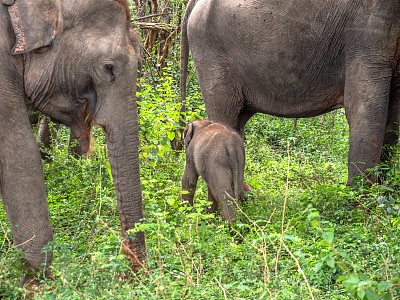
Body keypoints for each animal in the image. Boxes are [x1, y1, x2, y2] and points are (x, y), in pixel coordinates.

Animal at [181, 0, 400, 185]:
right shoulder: (365, 32)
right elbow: (363, 109)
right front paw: (360, 205)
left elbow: (393, 120)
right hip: (210, 52)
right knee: (226, 114)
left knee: (238, 120)